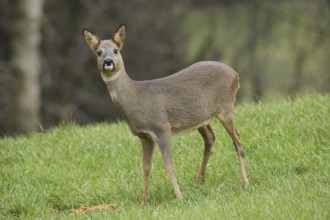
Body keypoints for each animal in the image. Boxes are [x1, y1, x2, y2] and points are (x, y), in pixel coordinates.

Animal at [82, 24, 248, 205]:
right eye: (99, 52)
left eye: (116, 50)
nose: (108, 62)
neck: (136, 97)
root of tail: (236, 74)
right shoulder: (144, 136)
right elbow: (146, 168)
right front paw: (144, 201)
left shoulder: (162, 128)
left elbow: (169, 167)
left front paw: (179, 198)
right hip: (200, 117)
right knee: (210, 138)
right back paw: (198, 182)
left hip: (226, 107)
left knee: (237, 140)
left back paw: (245, 182)